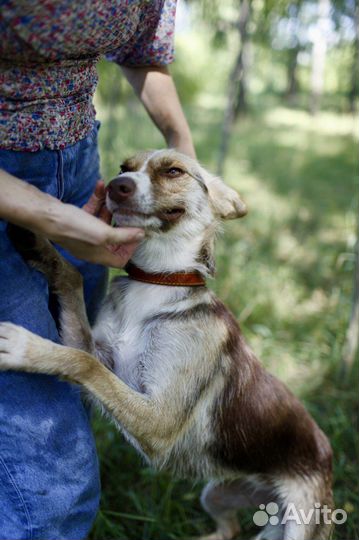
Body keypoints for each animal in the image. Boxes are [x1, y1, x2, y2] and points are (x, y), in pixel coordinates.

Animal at [0, 149, 334, 540]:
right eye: (124, 168)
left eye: (174, 171)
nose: (116, 186)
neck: (158, 280)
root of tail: (327, 453)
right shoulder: (100, 352)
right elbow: (73, 281)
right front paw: (38, 240)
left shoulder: (160, 421)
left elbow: (84, 364)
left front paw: (22, 346)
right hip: (217, 494)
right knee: (230, 528)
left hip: (299, 522)